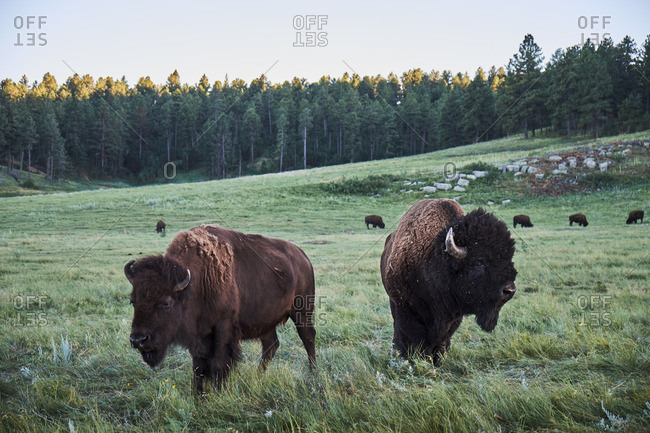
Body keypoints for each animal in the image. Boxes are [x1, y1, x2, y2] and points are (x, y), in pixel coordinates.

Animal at [125, 224, 316, 393]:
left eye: (166, 303)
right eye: (132, 301)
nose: (138, 339)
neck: (196, 283)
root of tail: (303, 257)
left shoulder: (224, 326)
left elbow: (218, 362)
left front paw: (218, 393)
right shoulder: (199, 335)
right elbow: (198, 366)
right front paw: (198, 395)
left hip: (302, 311)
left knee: (307, 337)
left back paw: (313, 373)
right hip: (266, 319)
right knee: (271, 344)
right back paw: (258, 376)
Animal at [380, 199, 517, 363]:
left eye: (509, 258)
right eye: (479, 262)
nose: (509, 290)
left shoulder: (453, 317)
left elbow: (443, 340)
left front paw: (438, 360)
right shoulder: (406, 310)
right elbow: (417, 339)